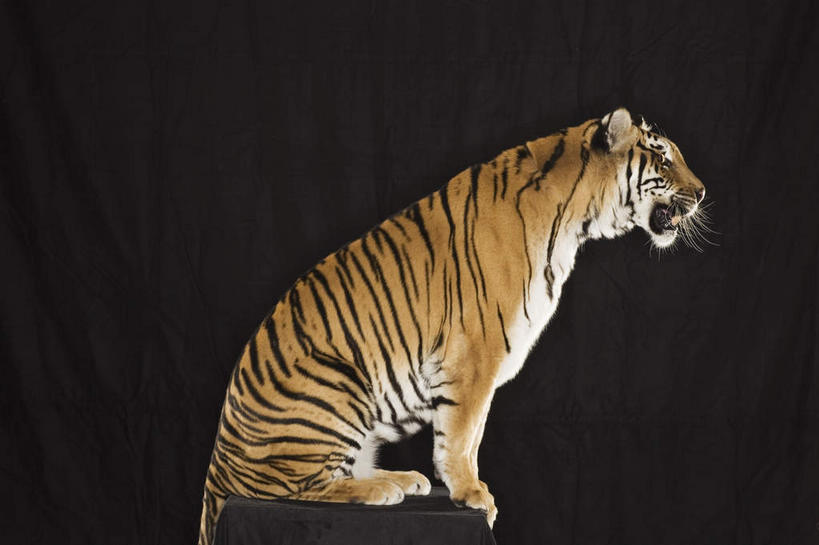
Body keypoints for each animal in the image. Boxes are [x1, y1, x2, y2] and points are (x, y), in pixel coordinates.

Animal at [197, 107, 707, 545]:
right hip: (336, 382)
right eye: (663, 156)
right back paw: (380, 490)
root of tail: (218, 463)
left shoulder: (487, 365)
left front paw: (468, 487)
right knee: (289, 487)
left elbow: (472, 433)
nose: (702, 192)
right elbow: (461, 435)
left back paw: (402, 478)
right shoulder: (475, 354)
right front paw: (472, 495)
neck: (577, 220)